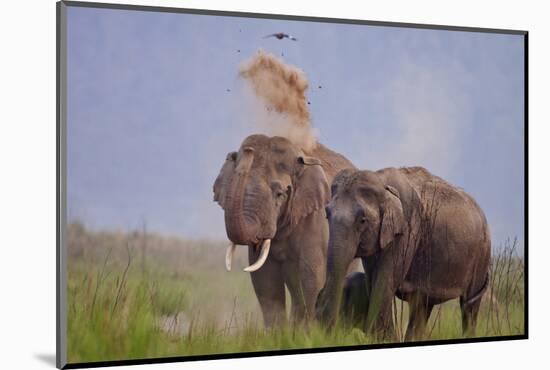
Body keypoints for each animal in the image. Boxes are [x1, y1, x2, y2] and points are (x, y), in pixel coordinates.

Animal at [316, 168, 494, 342]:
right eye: (327, 214)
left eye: (362, 220)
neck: (381, 181)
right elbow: (373, 281)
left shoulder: (407, 229)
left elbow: (384, 281)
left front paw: (383, 338)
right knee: (422, 305)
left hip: (482, 255)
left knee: (468, 307)